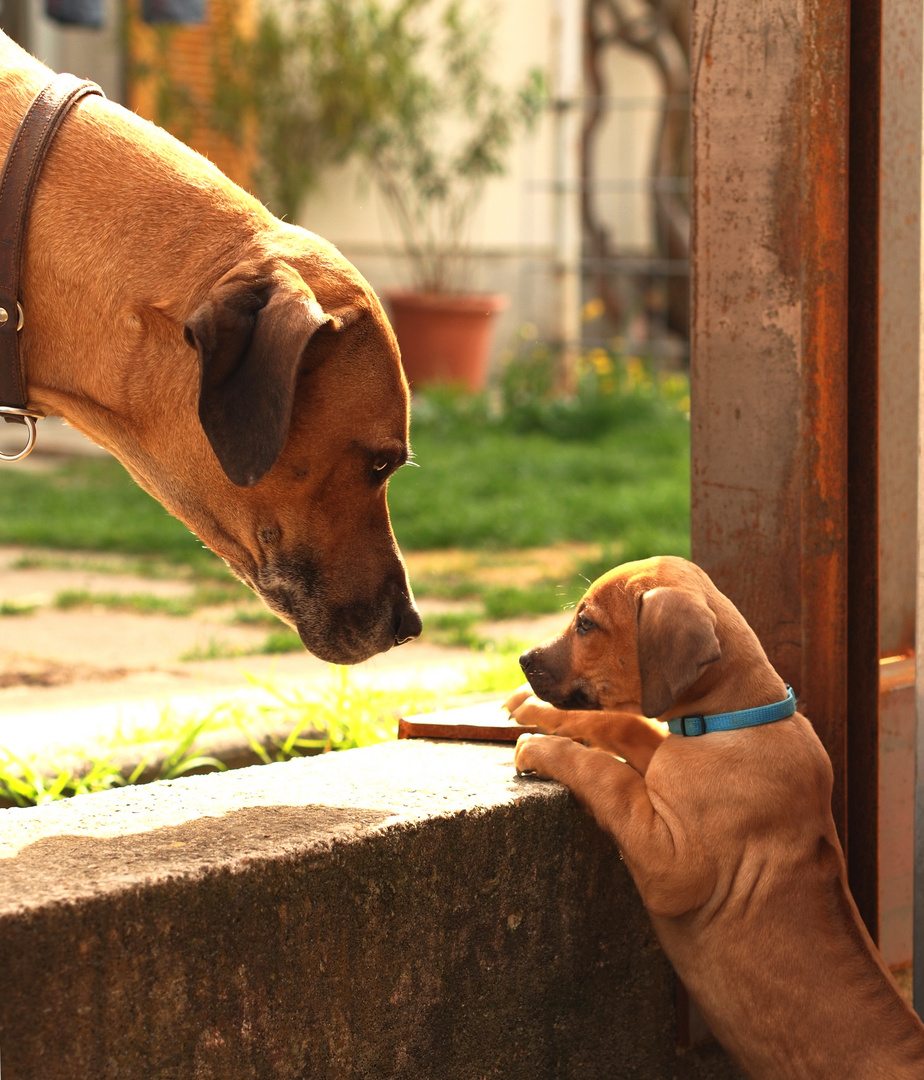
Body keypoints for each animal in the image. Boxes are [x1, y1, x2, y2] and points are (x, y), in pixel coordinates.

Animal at [505, 557, 924, 1080]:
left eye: (586, 625)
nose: (523, 659)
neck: (733, 717)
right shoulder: (667, 758)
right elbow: (624, 723)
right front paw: (535, 711)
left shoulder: (670, 863)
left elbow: (610, 776)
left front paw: (541, 747)